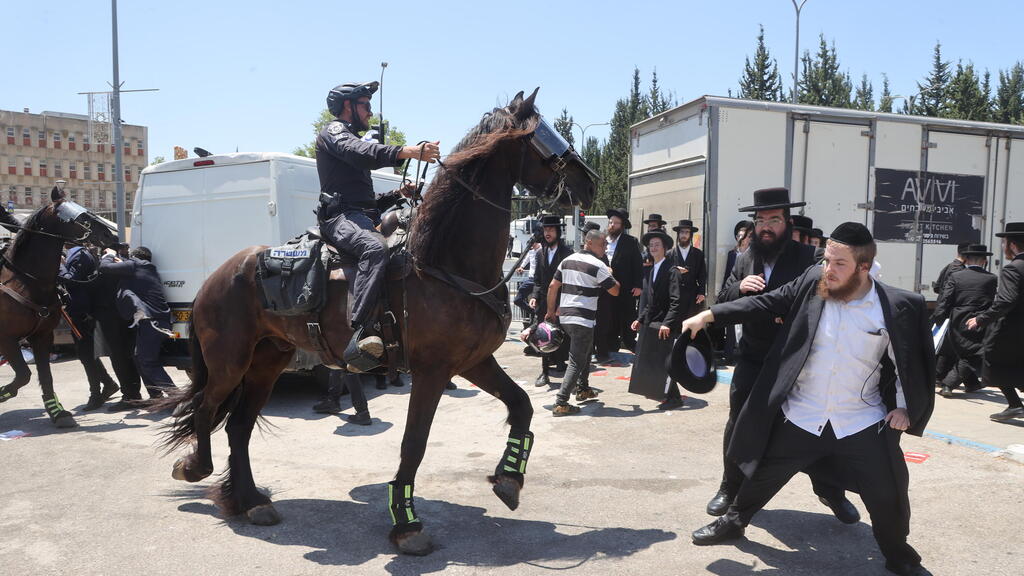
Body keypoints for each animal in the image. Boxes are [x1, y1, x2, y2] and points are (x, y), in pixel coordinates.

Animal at [0, 186, 117, 424]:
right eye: (80, 217)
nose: (110, 235)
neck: (26, 282)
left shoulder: (42, 336)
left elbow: (45, 375)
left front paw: (57, 413)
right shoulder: (6, 338)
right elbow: (24, 374)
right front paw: (4, 392)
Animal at [159, 88, 598, 553]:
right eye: (546, 141)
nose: (589, 182)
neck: (443, 262)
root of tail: (215, 276)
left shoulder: (473, 362)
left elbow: (521, 405)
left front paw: (509, 477)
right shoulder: (432, 371)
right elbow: (413, 444)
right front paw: (406, 523)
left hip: (266, 362)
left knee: (238, 426)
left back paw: (249, 500)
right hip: (229, 362)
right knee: (206, 409)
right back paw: (196, 469)